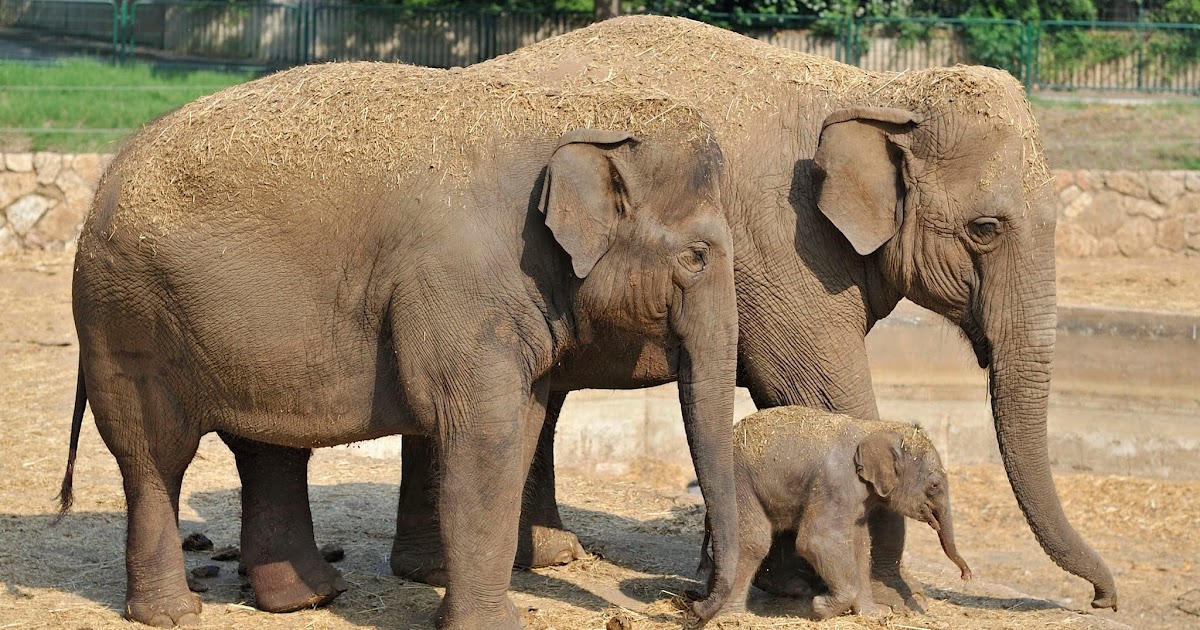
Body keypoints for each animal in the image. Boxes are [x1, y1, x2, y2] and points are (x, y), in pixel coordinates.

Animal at [57, 62, 744, 628]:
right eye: (698, 256)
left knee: (266, 447)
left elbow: (521, 423)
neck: (579, 110)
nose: (689, 602)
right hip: (127, 321)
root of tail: (99, 186)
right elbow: (485, 433)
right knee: (155, 457)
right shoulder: (459, 282)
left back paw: (311, 597)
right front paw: (493, 626)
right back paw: (174, 614)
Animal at [698, 406, 970, 620]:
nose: (965, 575)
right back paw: (730, 616)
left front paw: (872, 615)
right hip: (737, 484)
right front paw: (820, 607)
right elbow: (816, 540)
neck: (875, 428)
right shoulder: (836, 482)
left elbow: (859, 545)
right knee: (753, 541)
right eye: (934, 486)